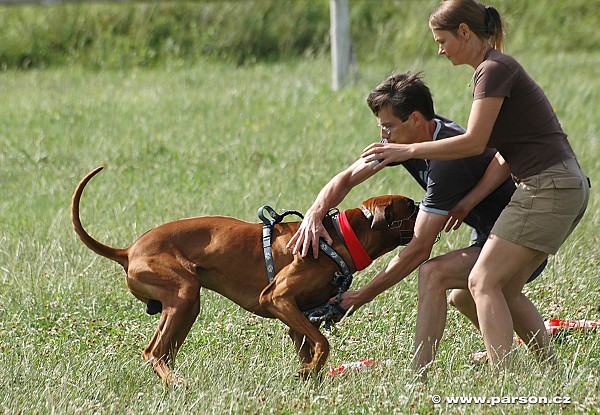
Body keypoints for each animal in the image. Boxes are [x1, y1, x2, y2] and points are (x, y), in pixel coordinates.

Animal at [71, 167, 418, 386]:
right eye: (411, 207)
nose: (429, 207)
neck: (336, 238)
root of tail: (129, 250)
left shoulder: (300, 319)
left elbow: (313, 351)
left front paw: (308, 379)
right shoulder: (277, 298)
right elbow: (323, 344)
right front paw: (308, 374)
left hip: (185, 306)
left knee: (162, 353)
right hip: (184, 292)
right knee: (153, 352)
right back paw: (179, 383)